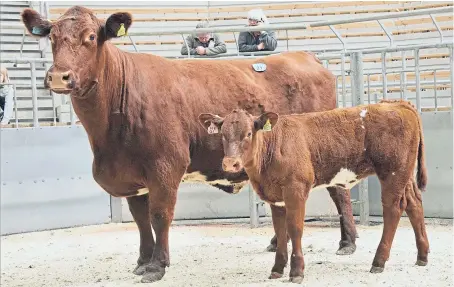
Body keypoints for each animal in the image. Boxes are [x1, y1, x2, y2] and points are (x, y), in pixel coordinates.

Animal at [21, 5, 356, 284]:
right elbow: (140, 219)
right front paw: (142, 261)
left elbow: (159, 215)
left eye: (91, 37)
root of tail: (305, 56)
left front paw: (157, 266)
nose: (59, 77)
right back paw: (277, 241)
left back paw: (347, 243)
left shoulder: (165, 166)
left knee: (339, 192)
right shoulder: (132, 175)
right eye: (52, 37)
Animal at [200, 100, 430, 284]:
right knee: (414, 203)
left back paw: (379, 261)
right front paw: (277, 269)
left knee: (393, 209)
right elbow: (280, 230)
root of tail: (397, 103)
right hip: (405, 175)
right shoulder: (276, 197)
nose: (230, 163)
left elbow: (294, 229)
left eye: (248, 133)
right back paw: (422, 255)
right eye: (223, 135)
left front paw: (296, 271)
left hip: (393, 172)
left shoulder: (296, 189)